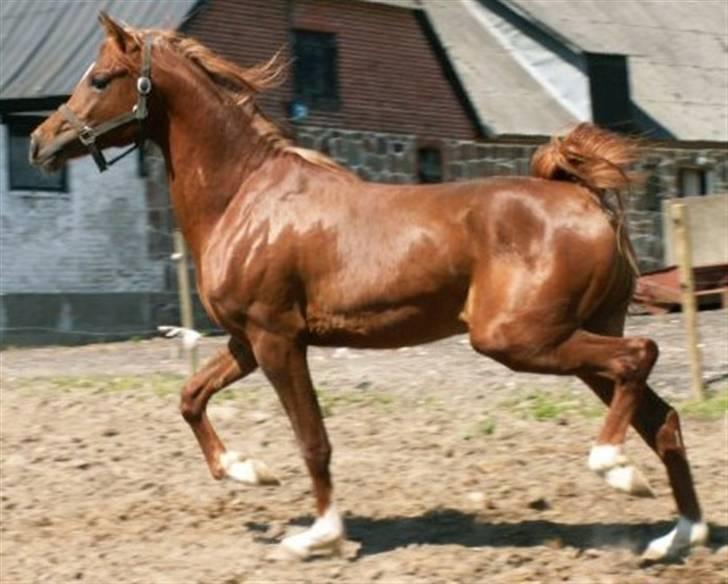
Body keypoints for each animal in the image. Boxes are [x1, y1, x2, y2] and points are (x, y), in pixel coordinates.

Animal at [31, 12, 708, 560]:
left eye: (100, 79)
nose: (40, 142)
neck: (244, 198)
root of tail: (584, 199)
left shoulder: (277, 340)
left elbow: (313, 440)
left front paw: (319, 537)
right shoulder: (246, 342)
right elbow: (190, 396)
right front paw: (249, 471)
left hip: (521, 338)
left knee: (641, 358)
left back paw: (616, 470)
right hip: (572, 337)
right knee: (663, 416)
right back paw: (679, 537)